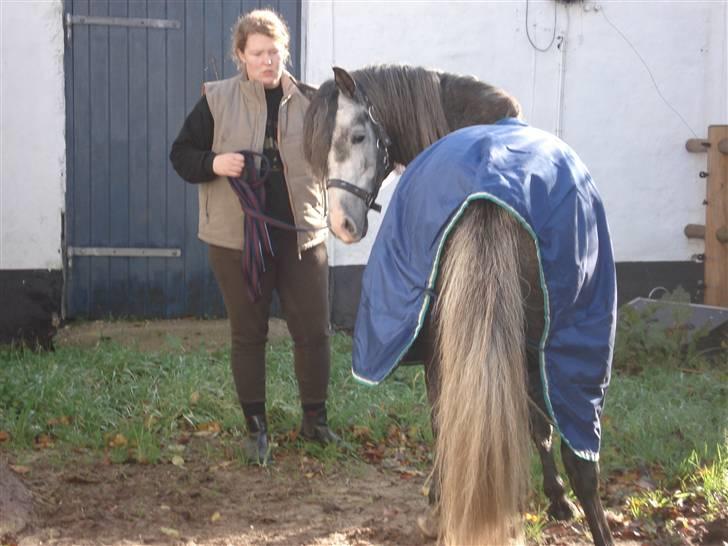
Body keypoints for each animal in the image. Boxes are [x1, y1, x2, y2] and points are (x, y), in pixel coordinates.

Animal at [298, 64, 615, 546]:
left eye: (357, 135)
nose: (342, 224)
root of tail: (488, 194)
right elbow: (537, 424)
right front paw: (557, 499)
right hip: (565, 345)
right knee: (580, 458)